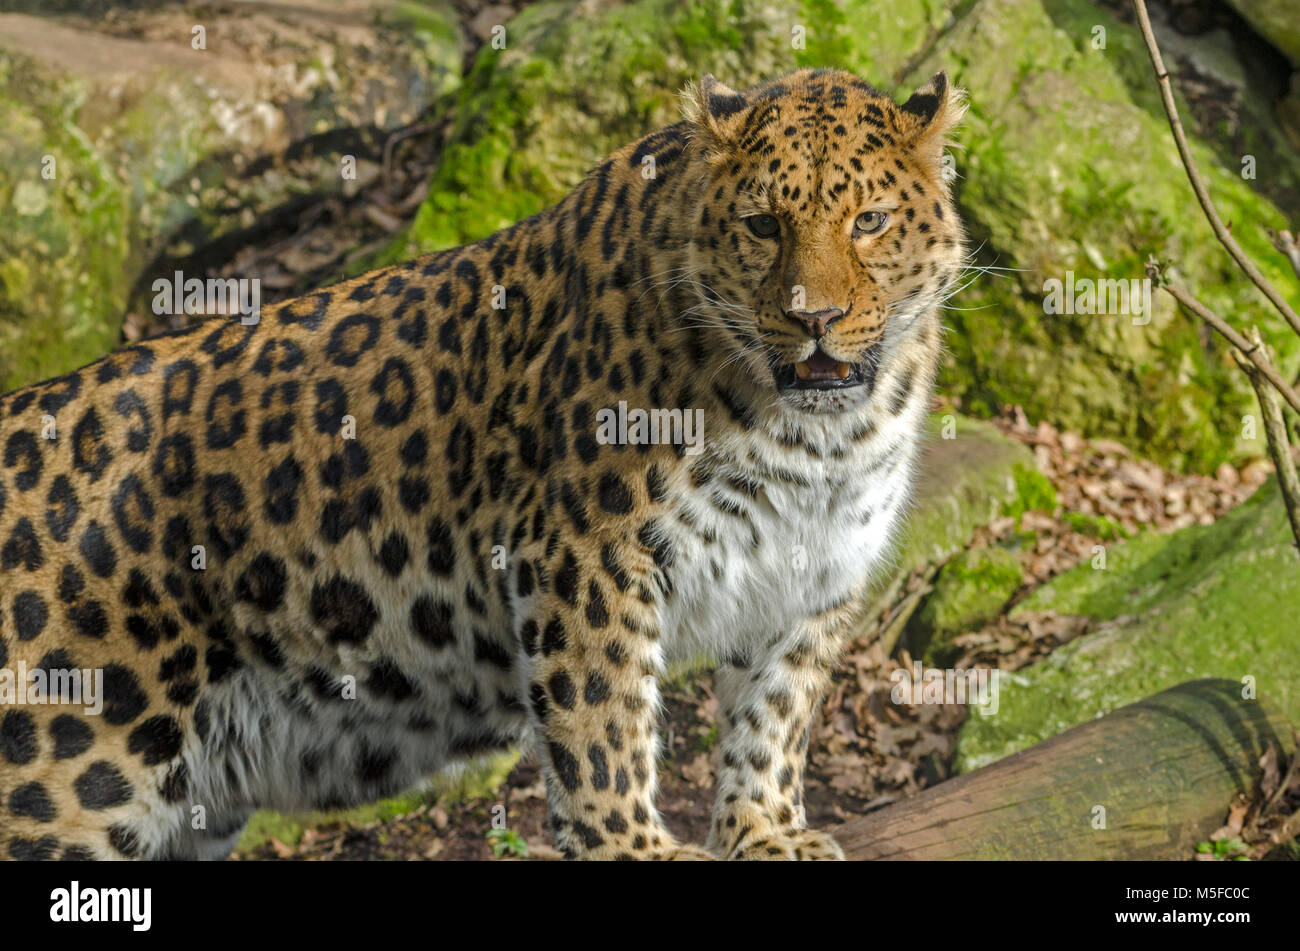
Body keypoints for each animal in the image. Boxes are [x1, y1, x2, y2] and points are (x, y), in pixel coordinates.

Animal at [0, 67, 967, 860]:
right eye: (763, 225)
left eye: (870, 221)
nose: (815, 317)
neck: (816, 440)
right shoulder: (583, 549)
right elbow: (602, 718)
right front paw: (631, 846)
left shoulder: (813, 571)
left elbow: (774, 716)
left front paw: (764, 831)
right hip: (66, 781)